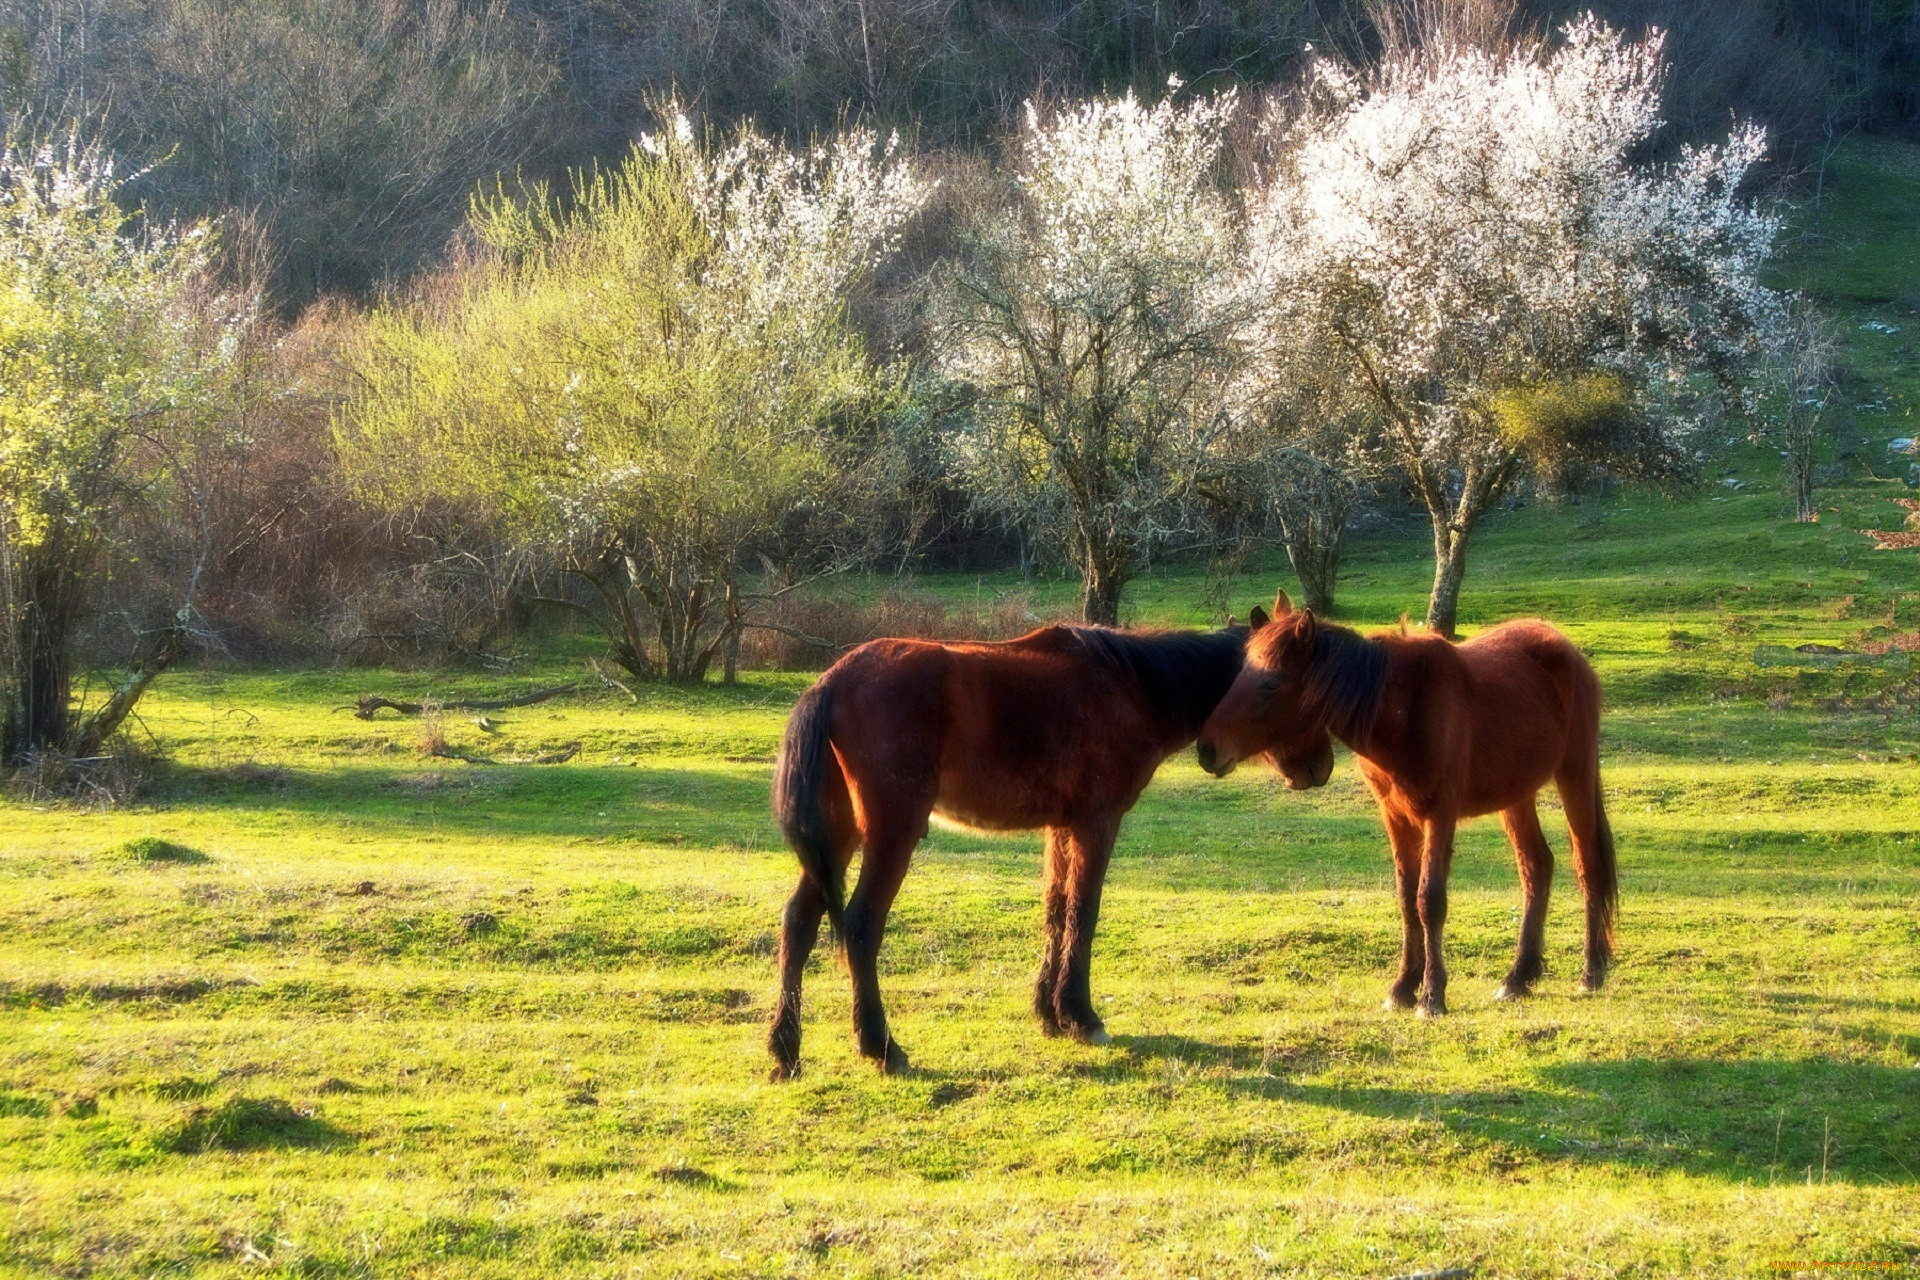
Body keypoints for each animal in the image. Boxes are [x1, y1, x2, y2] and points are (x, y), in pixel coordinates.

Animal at [771, 614, 1251, 1074]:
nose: (1213, 755)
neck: (1128, 685)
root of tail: (831, 682)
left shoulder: (1061, 828)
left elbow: (1056, 910)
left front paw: (1049, 1013)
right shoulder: (1097, 823)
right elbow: (1083, 912)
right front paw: (1080, 1016)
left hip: (838, 836)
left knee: (799, 921)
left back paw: (785, 1049)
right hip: (891, 834)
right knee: (861, 925)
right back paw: (881, 1046)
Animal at [1190, 594, 1612, 1020]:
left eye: (1271, 683)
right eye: (1239, 675)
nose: (1207, 749)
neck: (1404, 711)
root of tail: (1565, 649)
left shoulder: (1440, 814)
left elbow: (1430, 900)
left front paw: (1432, 996)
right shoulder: (1395, 815)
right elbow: (1407, 899)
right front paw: (1403, 987)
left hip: (1574, 774)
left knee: (1587, 864)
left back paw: (1591, 971)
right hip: (1516, 796)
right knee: (1536, 867)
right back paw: (1518, 977)